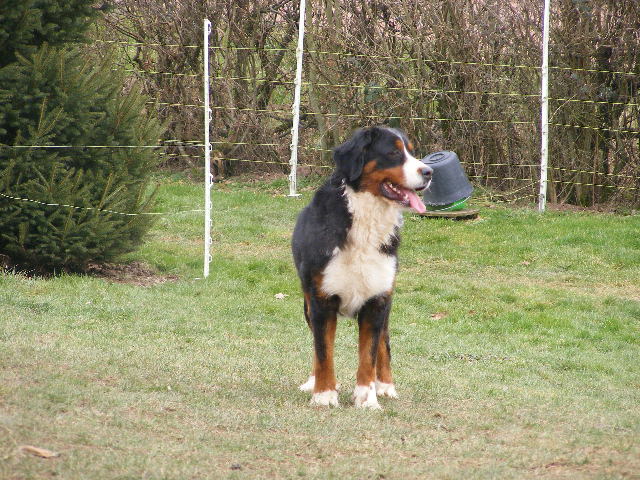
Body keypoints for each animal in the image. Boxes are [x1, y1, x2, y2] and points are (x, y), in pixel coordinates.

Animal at [292, 124, 432, 408]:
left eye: (412, 152)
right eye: (393, 153)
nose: (429, 172)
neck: (365, 221)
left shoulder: (377, 300)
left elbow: (370, 354)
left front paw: (367, 399)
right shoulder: (322, 300)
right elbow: (323, 352)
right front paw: (324, 395)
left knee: (384, 346)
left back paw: (386, 386)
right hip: (308, 303)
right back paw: (312, 382)